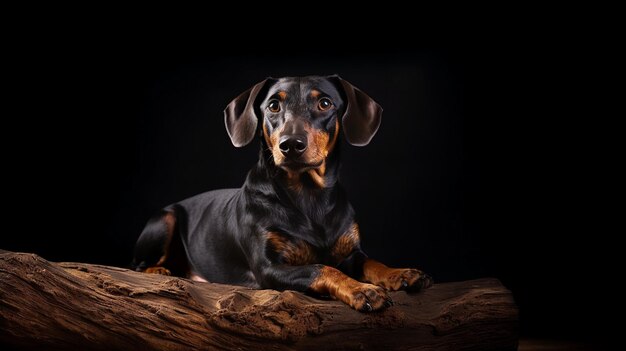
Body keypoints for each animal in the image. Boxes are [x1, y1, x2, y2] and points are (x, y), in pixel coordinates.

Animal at [130, 75, 434, 312]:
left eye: (325, 103)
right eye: (273, 105)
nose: (291, 144)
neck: (309, 197)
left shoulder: (352, 252)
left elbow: (372, 261)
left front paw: (401, 273)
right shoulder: (269, 269)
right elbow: (322, 268)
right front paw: (362, 290)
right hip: (165, 219)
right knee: (137, 265)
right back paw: (159, 271)